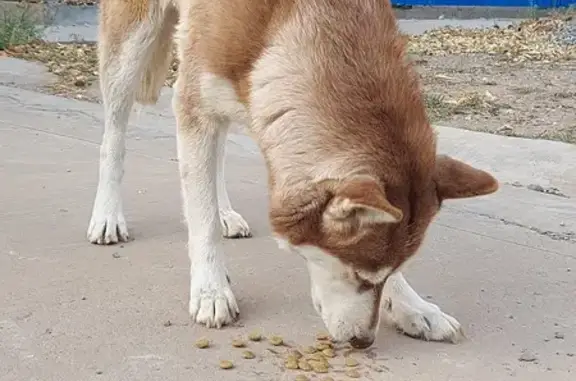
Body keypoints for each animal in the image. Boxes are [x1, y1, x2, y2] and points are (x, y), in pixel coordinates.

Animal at [88, 0, 498, 348]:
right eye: (357, 276)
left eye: (377, 276)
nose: (363, 342)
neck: (293, 20)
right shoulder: (195, 104)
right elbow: (200, 220)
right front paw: (211, 290)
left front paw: (414, 308)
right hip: (130, 50)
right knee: (113, 139)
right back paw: (108, 216)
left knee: (217, 155)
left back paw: (225, 212)